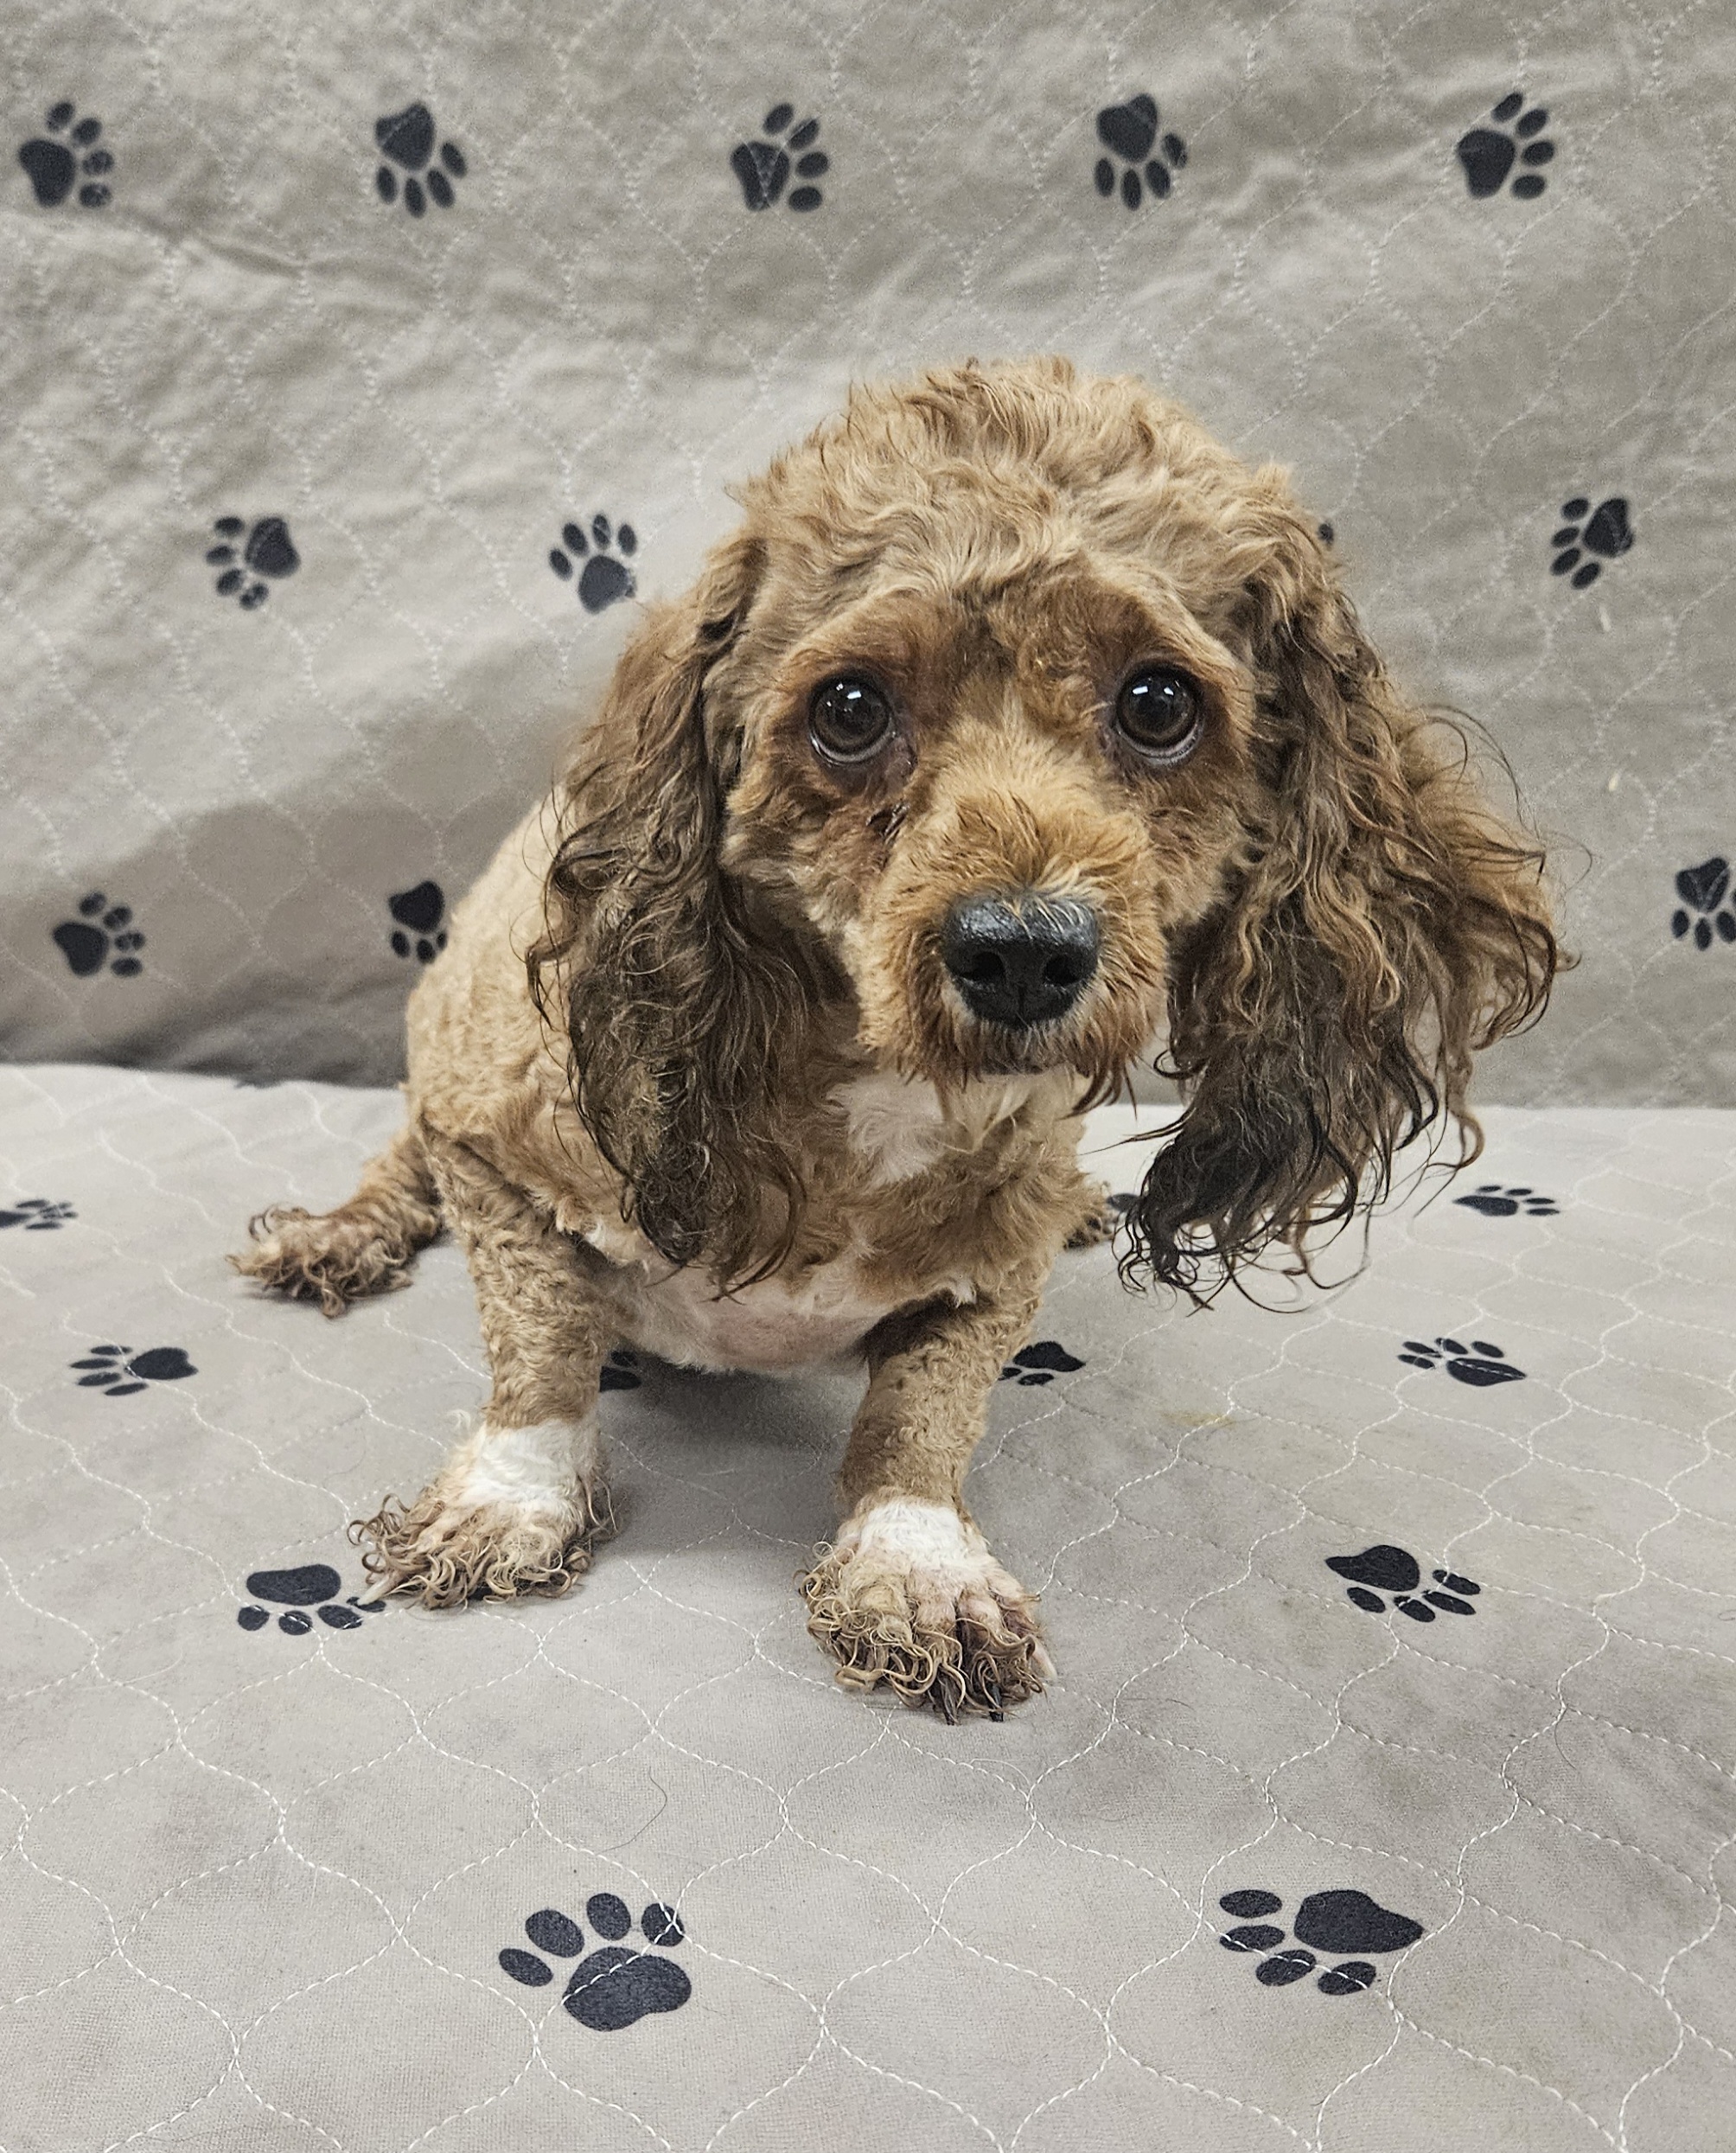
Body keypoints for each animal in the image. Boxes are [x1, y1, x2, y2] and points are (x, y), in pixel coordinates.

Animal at [234, 361, 1559, 1722]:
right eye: (850, 707)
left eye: (1158, 702)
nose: (1022, 951)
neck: (878, 1098)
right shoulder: (497, 1155)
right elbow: (542, 1351)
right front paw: (512, 1497)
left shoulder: (991, 1278)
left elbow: (922, 1417)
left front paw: (915, 1566)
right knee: (394, 1163)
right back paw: (338, 1233)